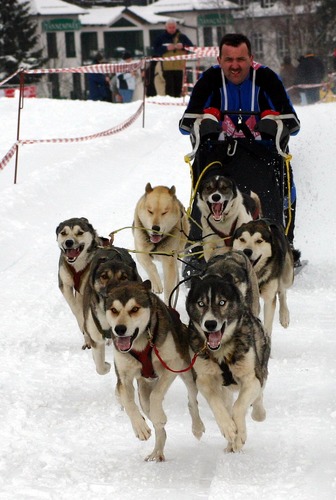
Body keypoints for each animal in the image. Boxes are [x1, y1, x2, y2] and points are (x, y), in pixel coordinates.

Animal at [105, 282, 205, 460]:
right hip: (143, 391)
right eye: (114, 310)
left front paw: (158, 415)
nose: (119, 329)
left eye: (134, 309)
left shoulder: (173, 364)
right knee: (151, 412)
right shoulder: (123, 378)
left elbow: (156, 395)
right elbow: (128, 403)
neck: (141, 345)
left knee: (192, 400)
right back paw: (157, 450)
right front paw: (140, 427)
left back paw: (197, 427)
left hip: (187, 372)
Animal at [185, 274, 270, 454]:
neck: (222, 352)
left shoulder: (251, 378)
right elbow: (217, 404)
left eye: (222, 302)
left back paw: (258, 413)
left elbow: (239, 406)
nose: (210, 324)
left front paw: (240, 435)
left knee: (258, 395)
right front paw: (229, 429)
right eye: (201, 303)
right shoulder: (204, 379)